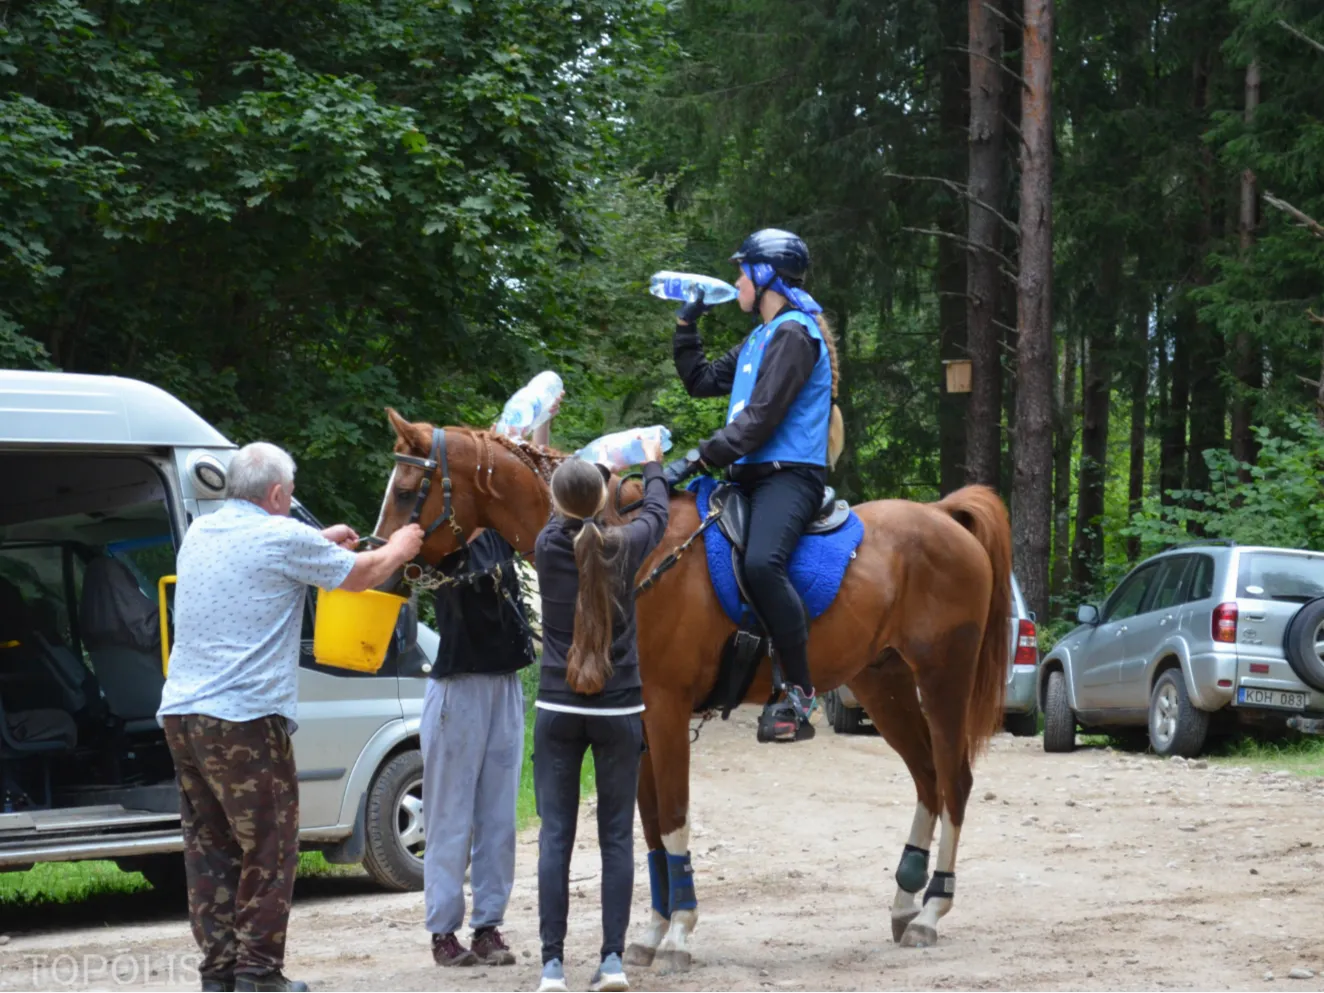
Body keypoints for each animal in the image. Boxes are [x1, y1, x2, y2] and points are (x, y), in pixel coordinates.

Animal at [373, 410, 1011, 974]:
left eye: (406, 490)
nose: (383, 564)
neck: (621, 547)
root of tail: (942, 515)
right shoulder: (635, 723)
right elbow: (652, 826)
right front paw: (653, 931)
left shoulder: (666, 711)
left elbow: (674, 816)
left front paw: (678, 933)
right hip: (884, 683)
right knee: (928, 780)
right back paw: (906, 901)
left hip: (943, 678)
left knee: (954, 781)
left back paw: (932, 909)